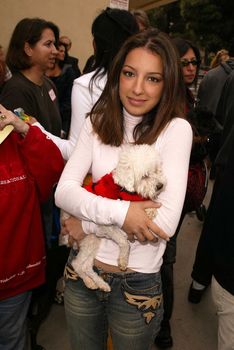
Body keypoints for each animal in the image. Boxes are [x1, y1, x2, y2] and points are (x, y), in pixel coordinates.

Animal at [60, 144, 166, 292]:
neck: (122, 189)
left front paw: (150, 209)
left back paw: (99, 283)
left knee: (84, 265)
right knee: (77, 264)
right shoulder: (107, 226)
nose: (160, 186)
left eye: (156, 170)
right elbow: (124, 242)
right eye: (144, 176)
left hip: (93, 241)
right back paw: (90, 281)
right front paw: (123, 260)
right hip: (89, 239)